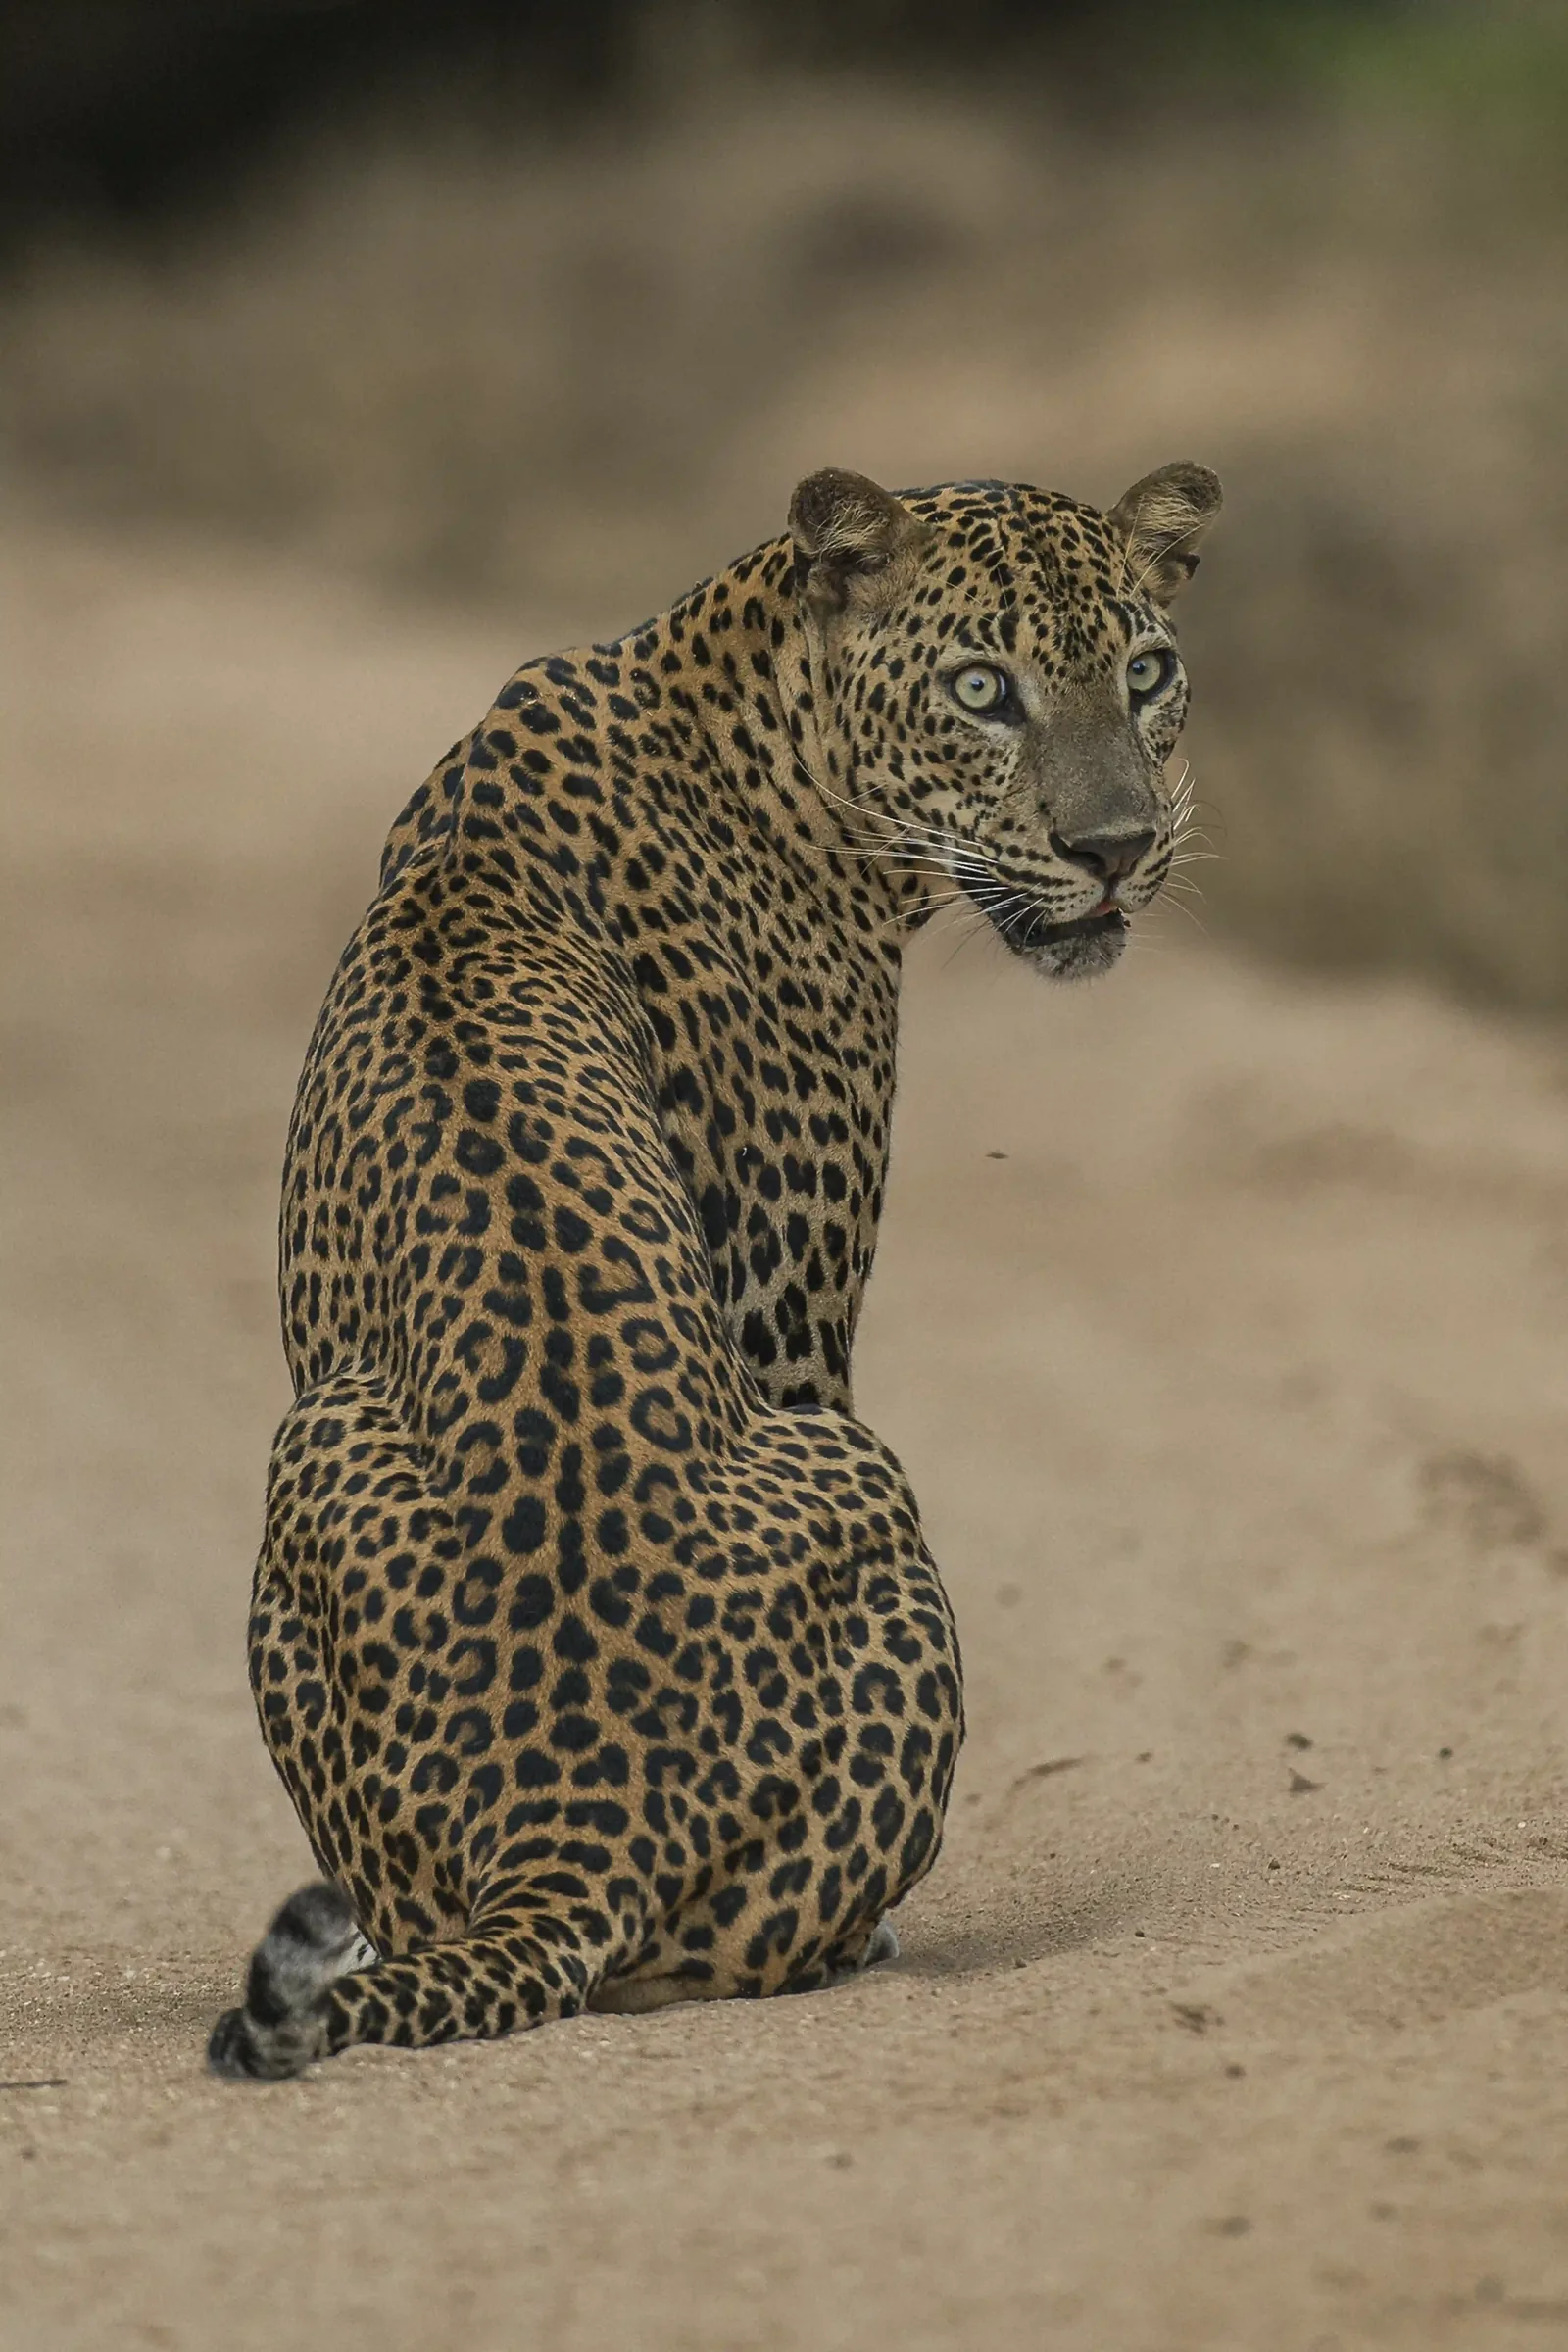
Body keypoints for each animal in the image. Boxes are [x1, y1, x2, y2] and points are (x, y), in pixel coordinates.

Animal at [208, 459, 1221, 2077]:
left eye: (1146, 671)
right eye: (984, 690)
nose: (1118, 849)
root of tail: (574, 1832)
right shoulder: (785, 1318)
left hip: (317, 1435)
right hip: (853, 1469)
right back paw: (858, 1942)